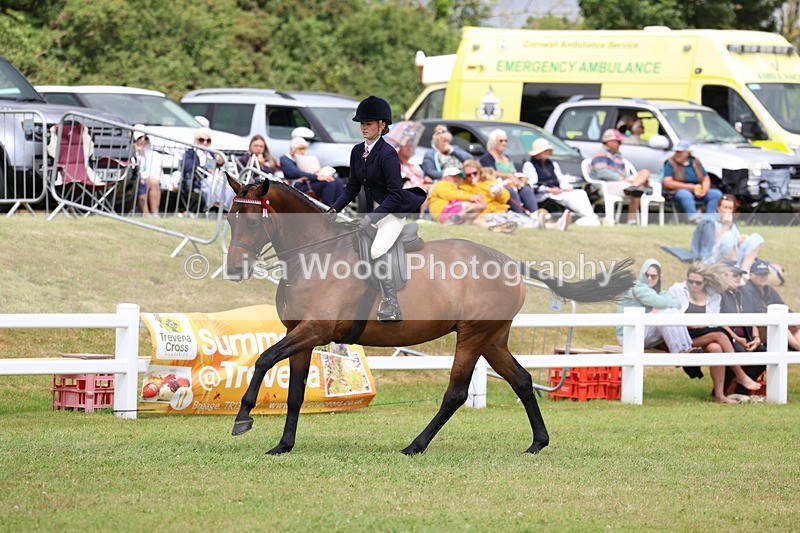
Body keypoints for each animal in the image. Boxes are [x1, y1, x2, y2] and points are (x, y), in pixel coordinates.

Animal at [224, 175, 634, 455]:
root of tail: (508, 262)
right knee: (520, 380)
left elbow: (263, 359)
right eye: (229, 218)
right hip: (493, 339)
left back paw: (415, 445)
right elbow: (294, 393)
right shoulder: (302, 335)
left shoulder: (314, 330)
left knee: (456, 392)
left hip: (472, 335)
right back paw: (537, 443)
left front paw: (243, 418)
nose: (234, 270)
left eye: (253, 221)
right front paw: (283, 445)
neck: (313, 253)